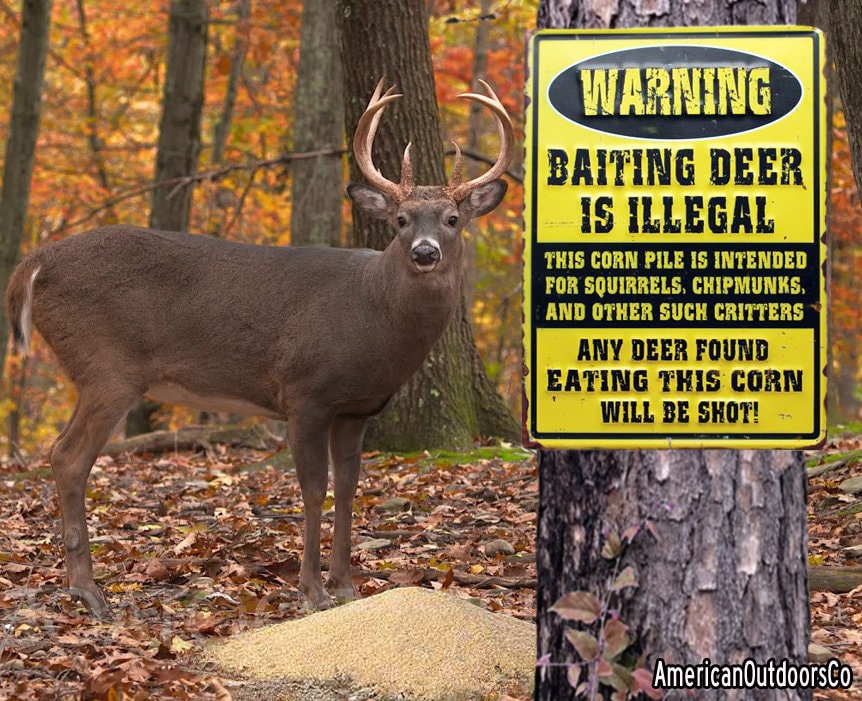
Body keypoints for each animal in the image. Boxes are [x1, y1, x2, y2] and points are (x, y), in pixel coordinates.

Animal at [4, 78, 513, 616]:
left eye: (453, 218)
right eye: (400, 219)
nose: (424, 252)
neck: (374, 313)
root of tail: (34, 263)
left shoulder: (356, 409)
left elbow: (349, 488)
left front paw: (346, 586)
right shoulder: (305, 392)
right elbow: (313, 489)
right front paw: (312, 590)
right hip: (107, 366)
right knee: (67, 455)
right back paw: (87, 589)